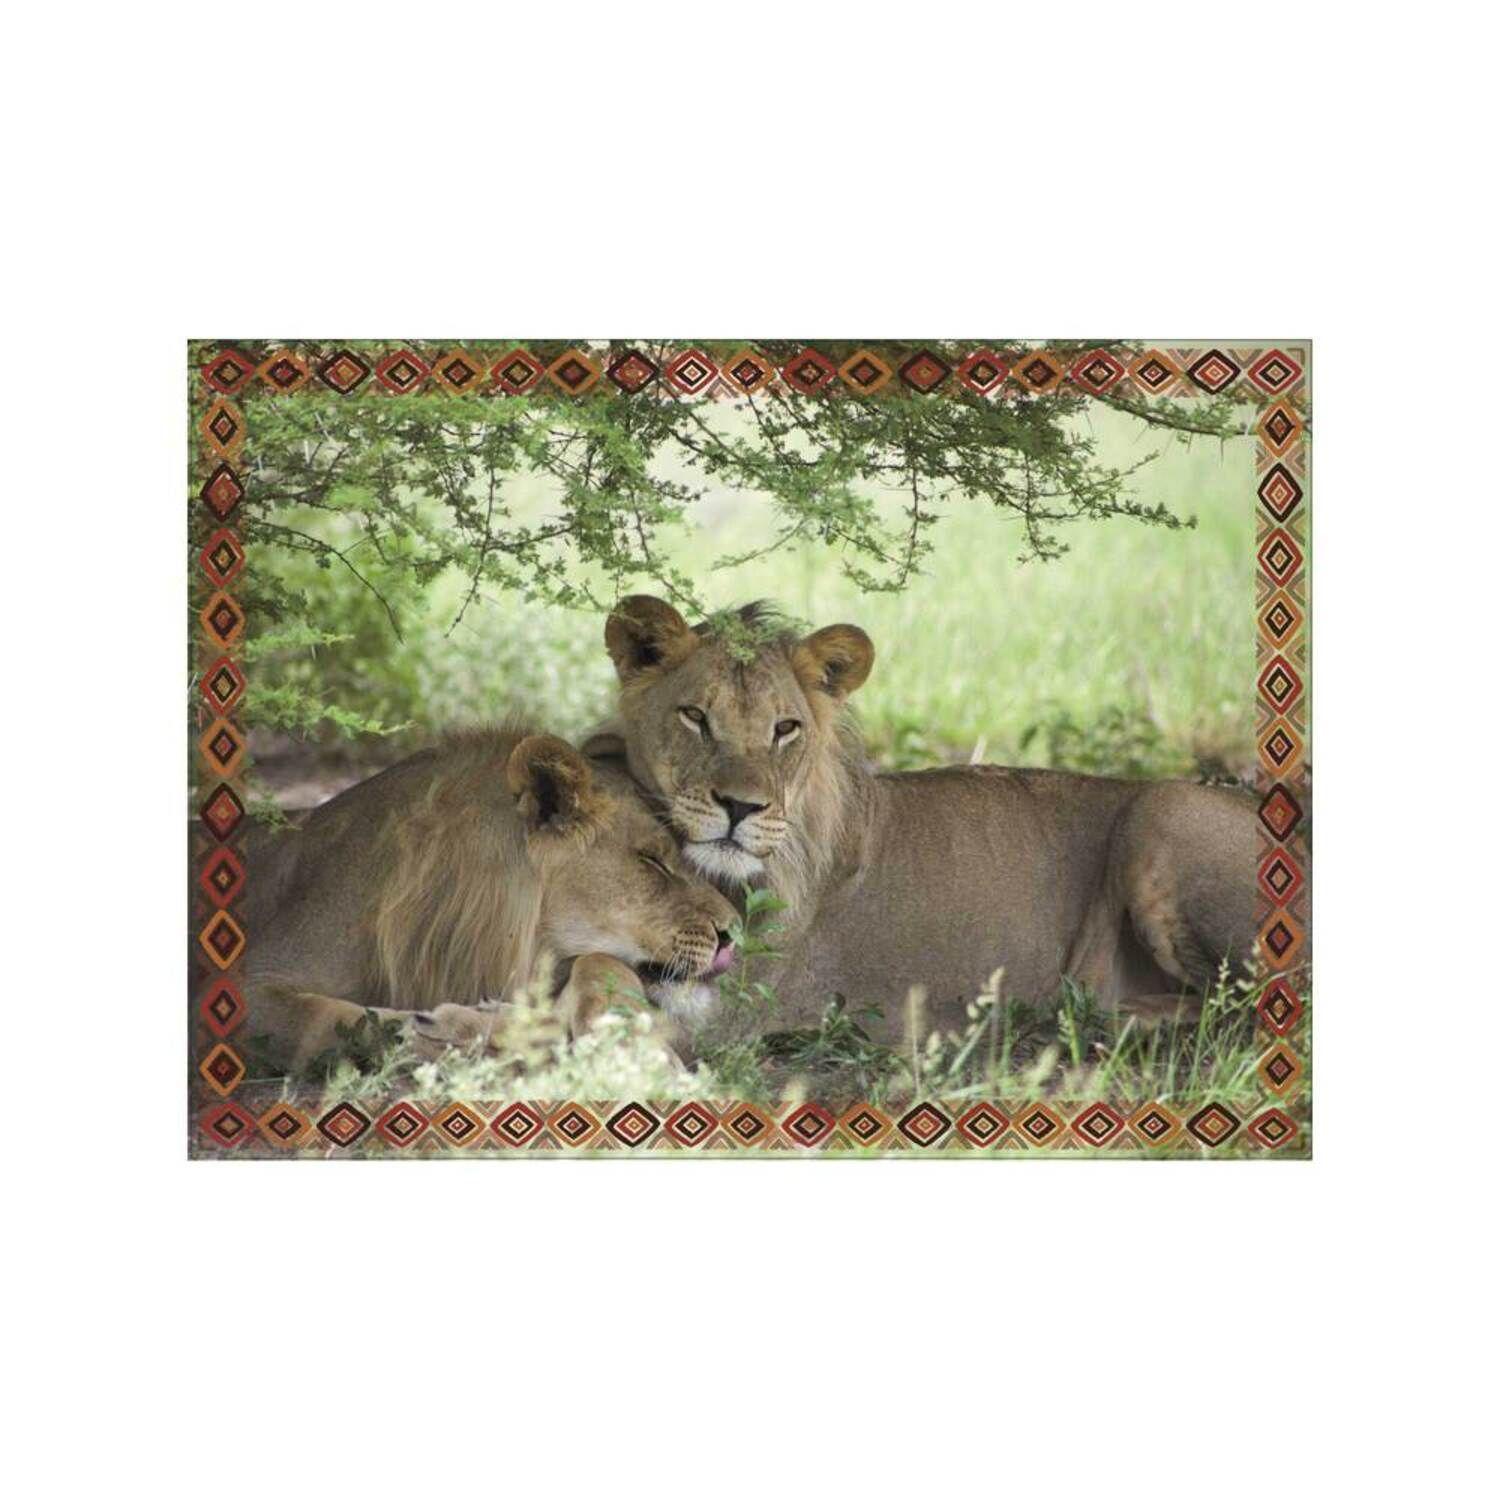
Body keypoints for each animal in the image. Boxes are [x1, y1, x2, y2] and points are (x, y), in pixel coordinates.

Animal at [234, 726, 739, 1074]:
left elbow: (601, 967)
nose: (734, 933)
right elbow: (340, 1020)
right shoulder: (249, 984)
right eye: (652, 860)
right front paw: (449, 1033)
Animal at [594, 596, 1261, 1045]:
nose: (740, 807)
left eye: (785, 728)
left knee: (1253, 1005)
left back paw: (1102, 1014)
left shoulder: (741, 1005)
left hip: (1164, 808)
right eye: (694, 716)